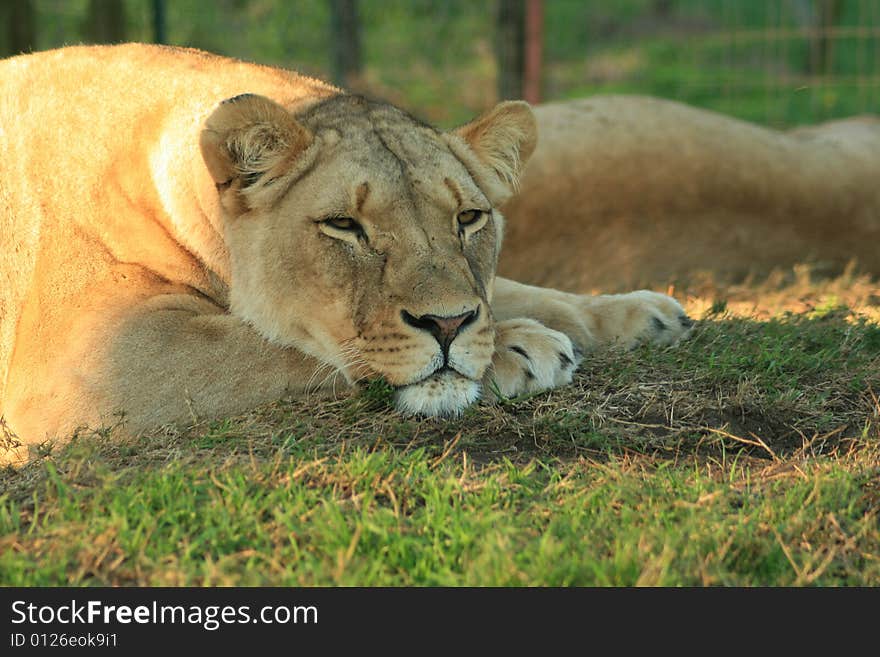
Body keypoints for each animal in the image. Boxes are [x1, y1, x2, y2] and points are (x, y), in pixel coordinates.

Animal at [0, 43, 692, 454]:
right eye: (344, 226)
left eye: (469, 218)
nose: (448, 325)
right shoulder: (85, 363)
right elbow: (277, 351)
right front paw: (516, 348)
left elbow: (517, 291)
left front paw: (643, 314)